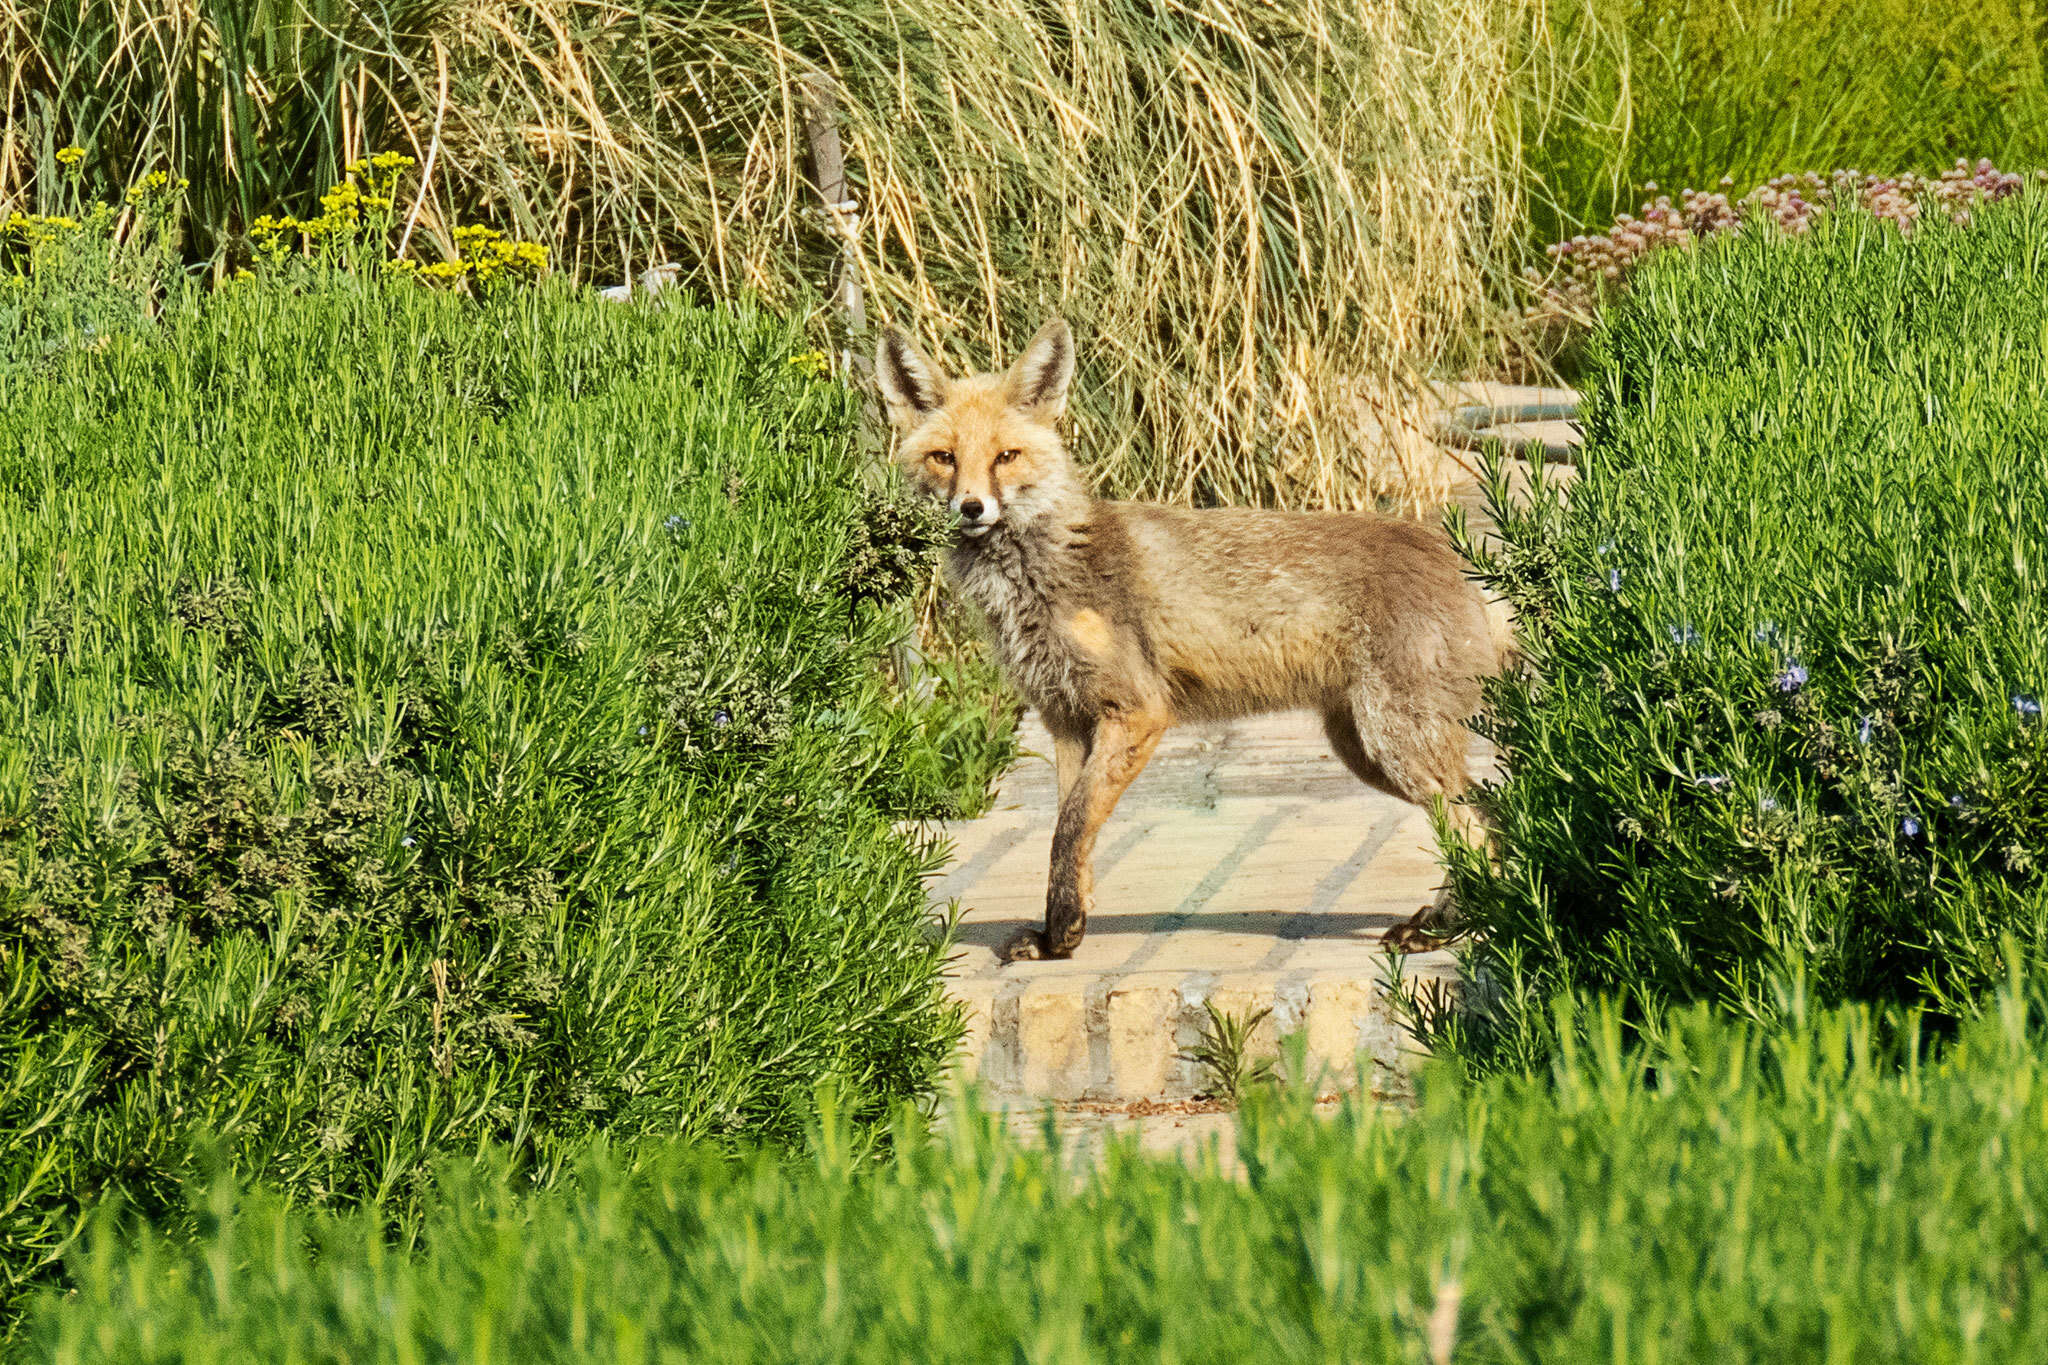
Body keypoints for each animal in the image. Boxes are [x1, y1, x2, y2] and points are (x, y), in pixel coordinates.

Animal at [872, 319, 1515, 961]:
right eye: (944, 458)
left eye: (1006, 456)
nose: (971, 507)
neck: (1040, 575)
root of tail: (1454, 551)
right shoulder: (1065, 718)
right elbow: (1068, 834)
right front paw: (1060, 934)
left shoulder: (1136, 709)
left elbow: (1070, 826)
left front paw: (1062, 932)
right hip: (1364, 748)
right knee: (1486, 814)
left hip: (1396, 741)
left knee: (1473, 823)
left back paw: (1445, 928)